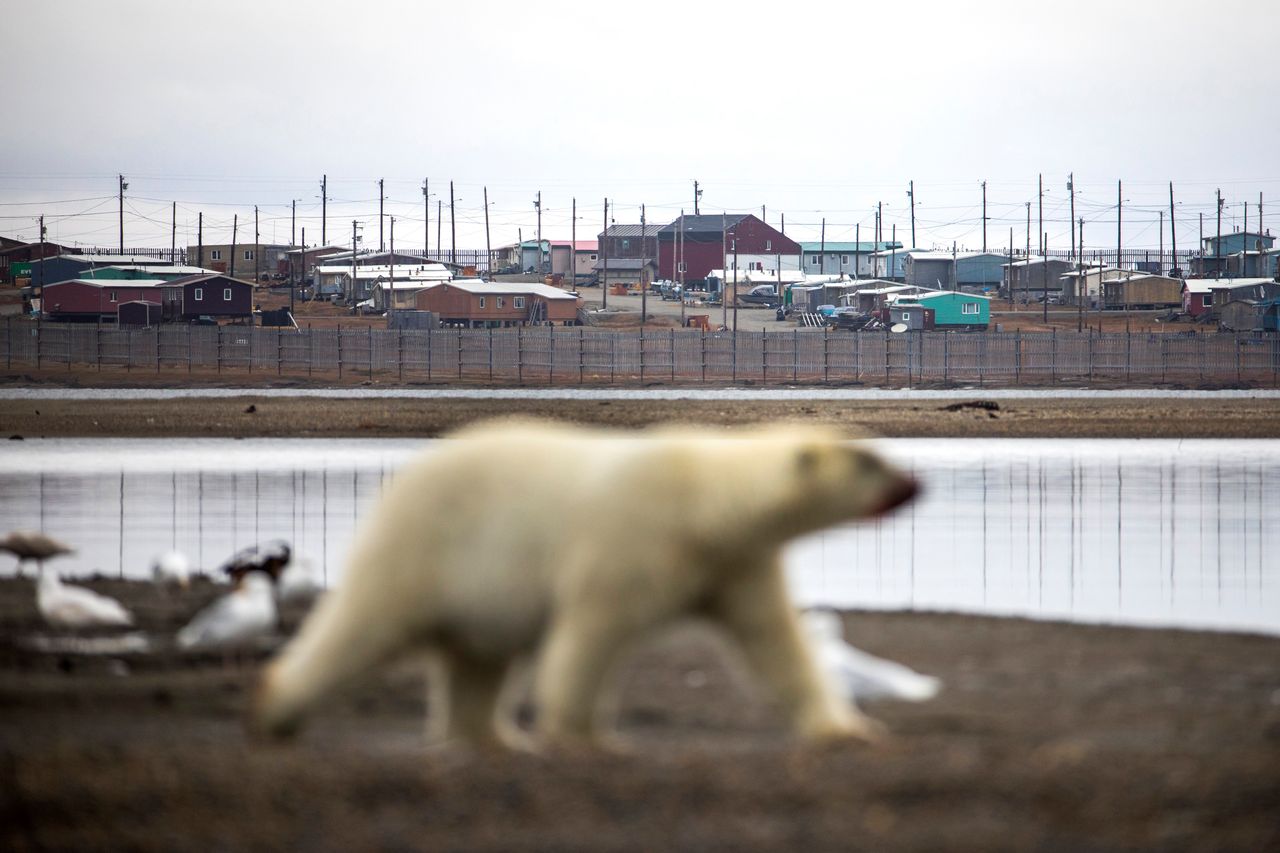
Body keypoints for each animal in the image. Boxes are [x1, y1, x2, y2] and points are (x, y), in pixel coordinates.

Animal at [254, 417, 921, 742]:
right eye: (871, 462)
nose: (914, 483)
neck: (700, 503)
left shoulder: (735, 563)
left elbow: (774, 642)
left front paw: (845, 731)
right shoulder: (627, 543)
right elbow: (590, 633)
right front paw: (581, 734)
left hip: (479, 589)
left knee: (479, 658)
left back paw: (494, 740)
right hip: (429, 546)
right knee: (366, 622)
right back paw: (276, 707)